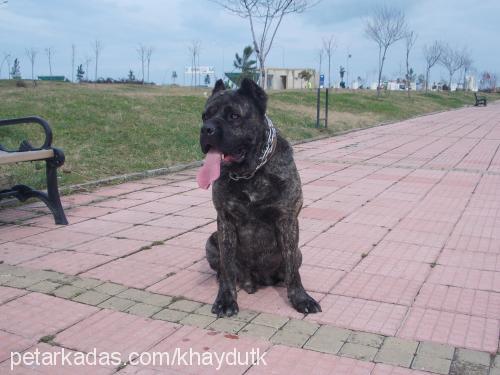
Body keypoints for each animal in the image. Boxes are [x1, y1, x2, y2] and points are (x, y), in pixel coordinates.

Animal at [197, 78, 322, 318]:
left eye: (234, 116)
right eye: (204, 115)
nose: (206, 129)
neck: (251, 172)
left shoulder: (287, 220)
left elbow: (293, 270)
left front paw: (300, 298)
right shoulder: (225, 221)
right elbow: (227, 267)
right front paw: (225, 299)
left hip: (299, 251)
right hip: (211, 240)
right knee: (224, 268)